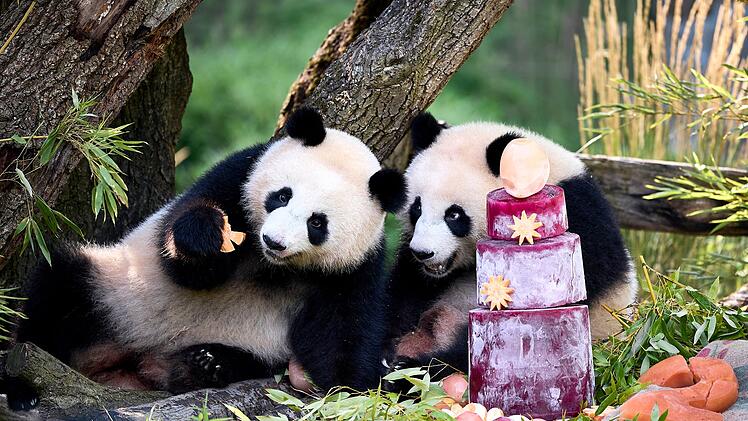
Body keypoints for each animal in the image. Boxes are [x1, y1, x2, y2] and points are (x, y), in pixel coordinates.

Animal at [9, 108, 407, 409]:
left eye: (317, 223)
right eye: (282, 196)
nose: (274, 241)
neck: (272, 265)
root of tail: (125, 366)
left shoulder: (352, 268)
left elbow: (344, 334)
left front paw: (349, 392)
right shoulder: (237, 176)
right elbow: (187, 265)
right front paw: (207, 237)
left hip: (248, 346)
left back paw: (204, 365)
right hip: (115, 290)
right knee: (58, 290)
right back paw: (22, 385)